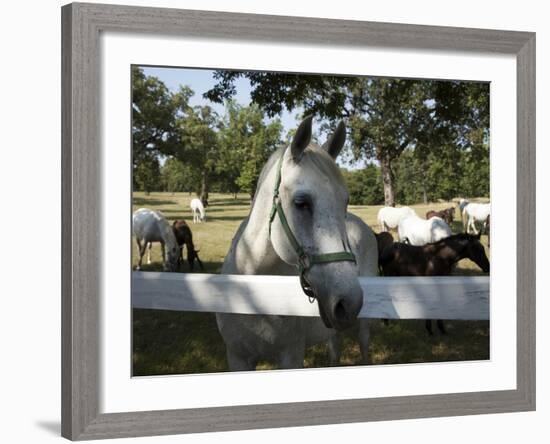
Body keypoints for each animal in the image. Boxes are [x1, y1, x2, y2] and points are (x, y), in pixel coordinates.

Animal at [216, 117, 380, 372]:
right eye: (301, 203)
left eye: (345, 202)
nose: (348, 303)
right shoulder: (238, 357)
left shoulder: (290, 356)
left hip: (362, 325)